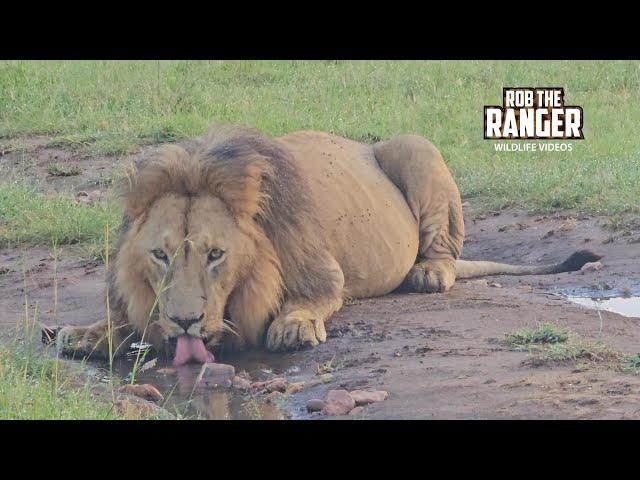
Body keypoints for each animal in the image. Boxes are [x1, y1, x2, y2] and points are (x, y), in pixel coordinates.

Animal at [56, 124, 600, 364]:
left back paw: (427, 272)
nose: (186, 321)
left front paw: (293, 327)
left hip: (415, 148)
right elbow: (123, 318)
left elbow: (311, 298)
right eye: (161, 256)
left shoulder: (323, 271)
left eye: (216, 255)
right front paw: (86, 333)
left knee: (443, 250)